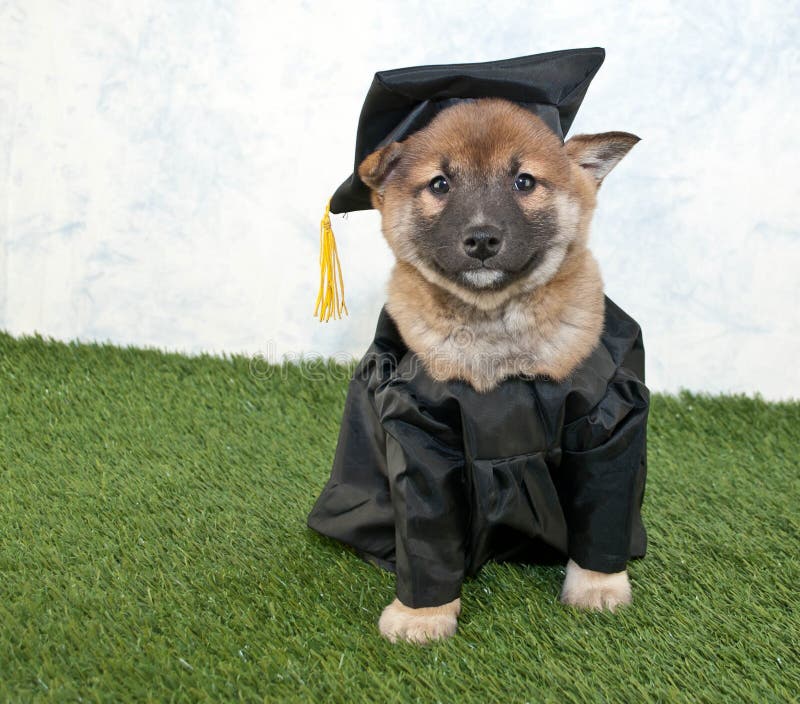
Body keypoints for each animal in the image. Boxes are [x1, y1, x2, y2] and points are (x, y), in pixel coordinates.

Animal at [360, 97, 640, 644]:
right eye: (440, 184)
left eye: (524, 181)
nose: (482, 239)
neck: (497, 331)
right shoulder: (419, 437)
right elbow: (427, 534)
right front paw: (421, 614)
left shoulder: (605, 423)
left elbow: (604, 512)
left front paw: (598, 585)